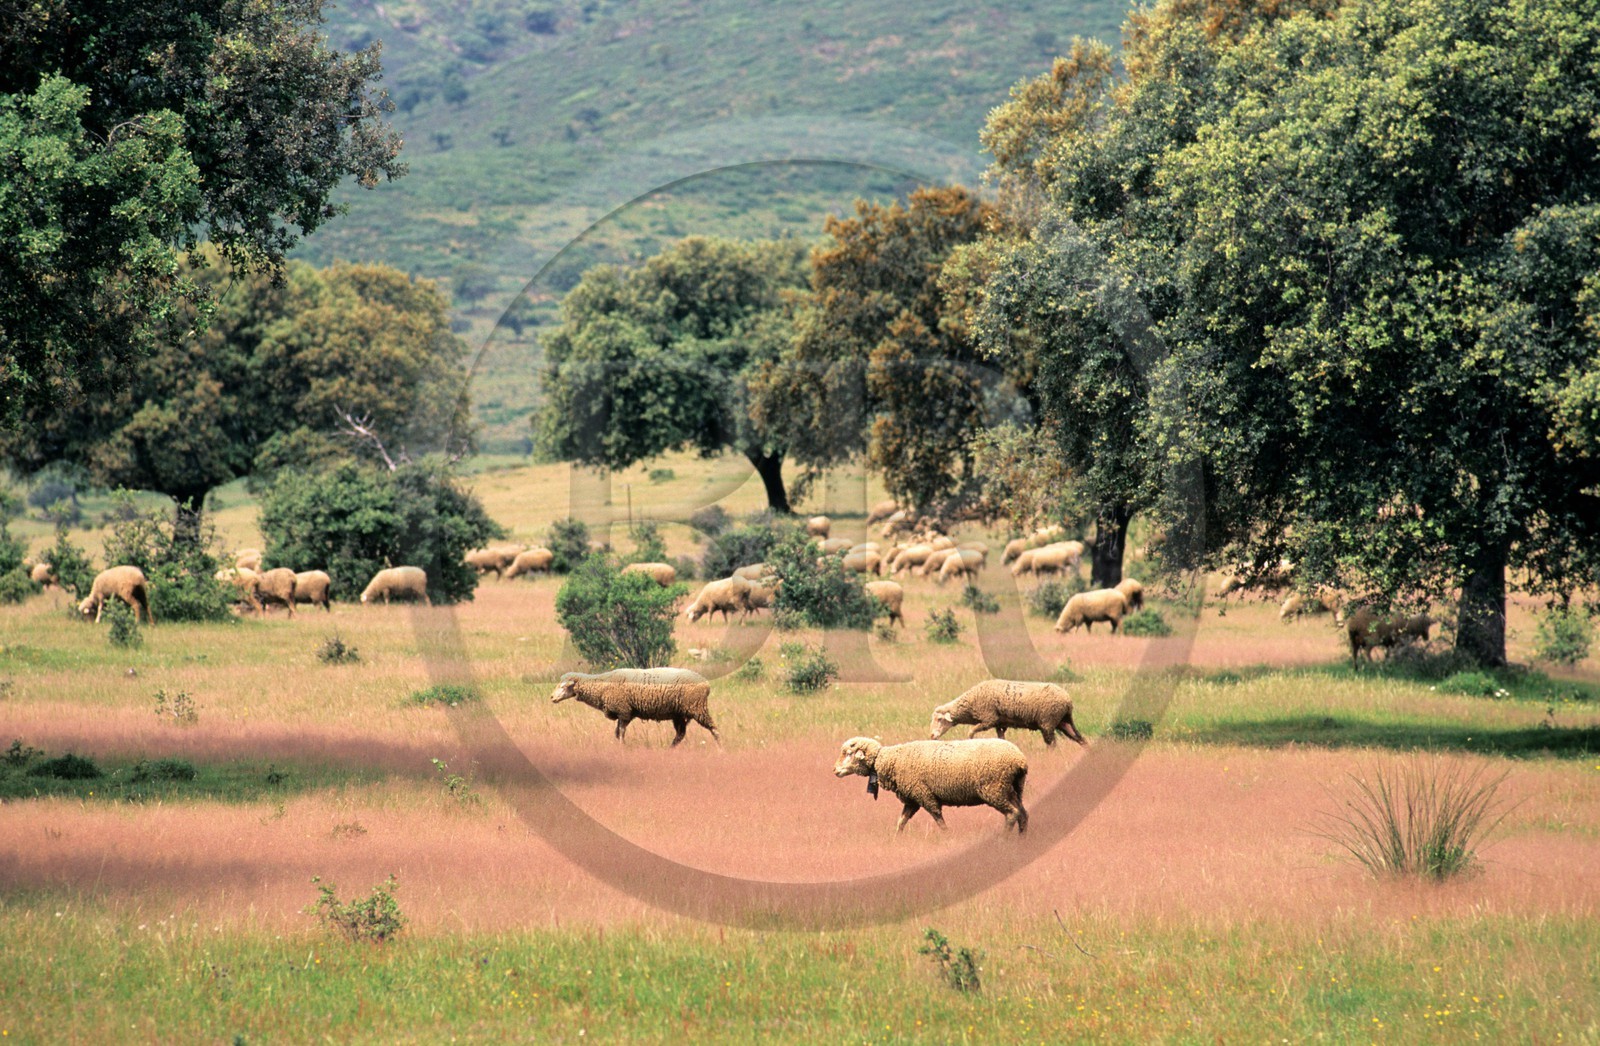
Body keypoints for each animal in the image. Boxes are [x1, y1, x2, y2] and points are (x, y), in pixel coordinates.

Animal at [551, 668, 719, 746]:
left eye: (563, 687)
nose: (551, 697)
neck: (602, 686)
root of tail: (706, 684)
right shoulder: (624, 713)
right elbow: (617, 733)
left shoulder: (623, 711)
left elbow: (621, 733)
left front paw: (622, 747)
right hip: (678, 713)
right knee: (680, 735)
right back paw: (669, 749)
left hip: (697, 708)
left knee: (713, 728)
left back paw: (720, 747)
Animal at [832, 736, 1028, 833]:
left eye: (848, 753)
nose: (834, 770)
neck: (888, 760)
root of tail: (1019, 759)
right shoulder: (912, 799)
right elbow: (901, 821)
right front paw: (895, 839)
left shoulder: (924, 794)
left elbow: (938, 818)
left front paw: (947, 836)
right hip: (1013, 789)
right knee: (1023, 814)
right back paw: (1021, 839)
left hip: (994, 789)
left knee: (1012, 813)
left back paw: (1003, 838)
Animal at [928, 679, 1088, 747]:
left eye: (939, 719)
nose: (931, 736)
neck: (971, 703)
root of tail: (1067, 700)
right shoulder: (999, 724)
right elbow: (1001, 738)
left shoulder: (989, 719)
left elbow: (970, 732)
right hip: (1064, 722)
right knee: (1080, 739)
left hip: (1047, 723)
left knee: (1052, 745)